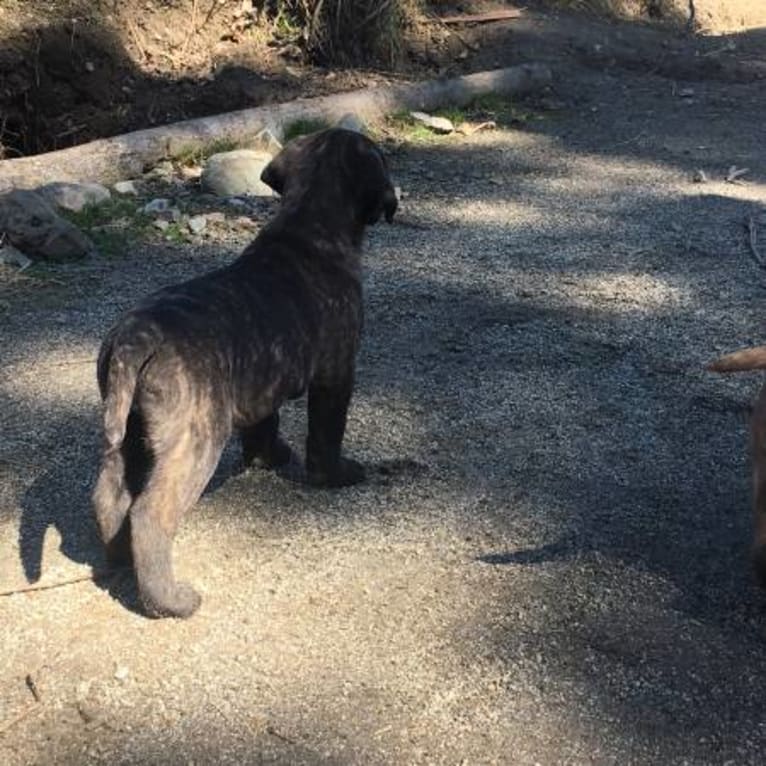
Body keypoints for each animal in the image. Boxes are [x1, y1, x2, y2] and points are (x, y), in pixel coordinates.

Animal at [93, 129, 400, 620]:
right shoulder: (336, 374)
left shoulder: (262, 383)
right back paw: (168, 601)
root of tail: (137, 338)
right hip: (196, 440)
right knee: (150, 513)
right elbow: (327, 433)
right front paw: (335, 474)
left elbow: (263, 426)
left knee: (111, 496)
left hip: (128, 429)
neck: (308, 223)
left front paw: (268, 457)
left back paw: (122, 562)